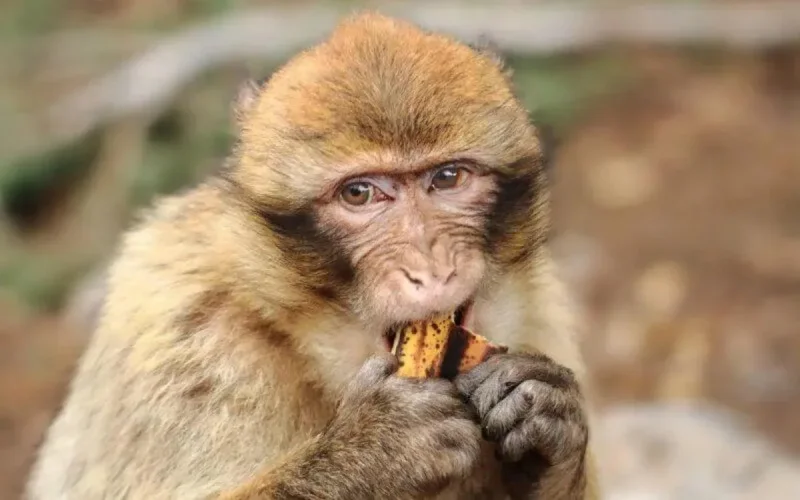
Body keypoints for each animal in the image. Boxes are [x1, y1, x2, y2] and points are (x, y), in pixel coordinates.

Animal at [26, 12, 600, 500]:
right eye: (360, 194)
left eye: (449, 177)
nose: (431, 267)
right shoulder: (190, 340)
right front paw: (374, 449)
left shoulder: (540, 310)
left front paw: (548, 417)